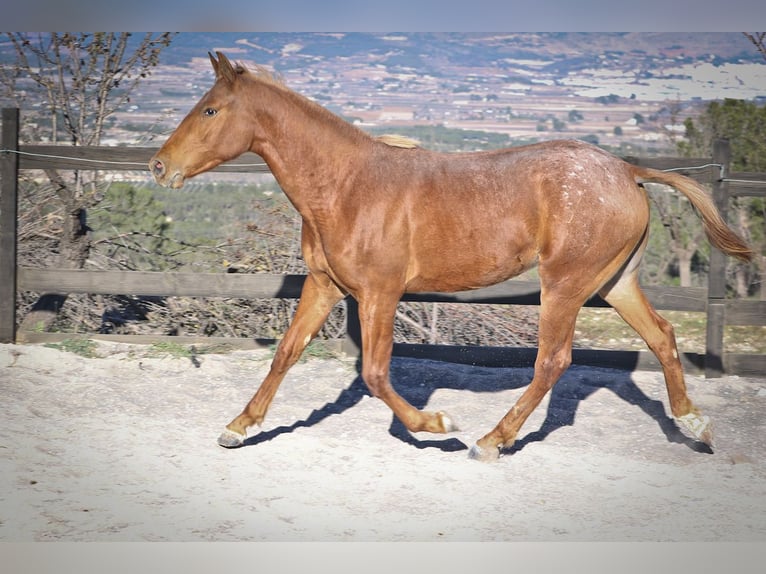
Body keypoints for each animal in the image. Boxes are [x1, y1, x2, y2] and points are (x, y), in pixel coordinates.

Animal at [152, 54, 756, 464]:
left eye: (209, 109)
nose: (159, 167)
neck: (346, 187)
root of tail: (627, 170)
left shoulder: (380, 293)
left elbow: (374, 373)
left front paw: (438, 423)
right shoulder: (324, 285)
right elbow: (285, 353)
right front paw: (238, 426)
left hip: (565, 284)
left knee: (553, 361)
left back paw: (490, 440)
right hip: (615, 282)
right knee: (662, 337)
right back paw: (694, 425)